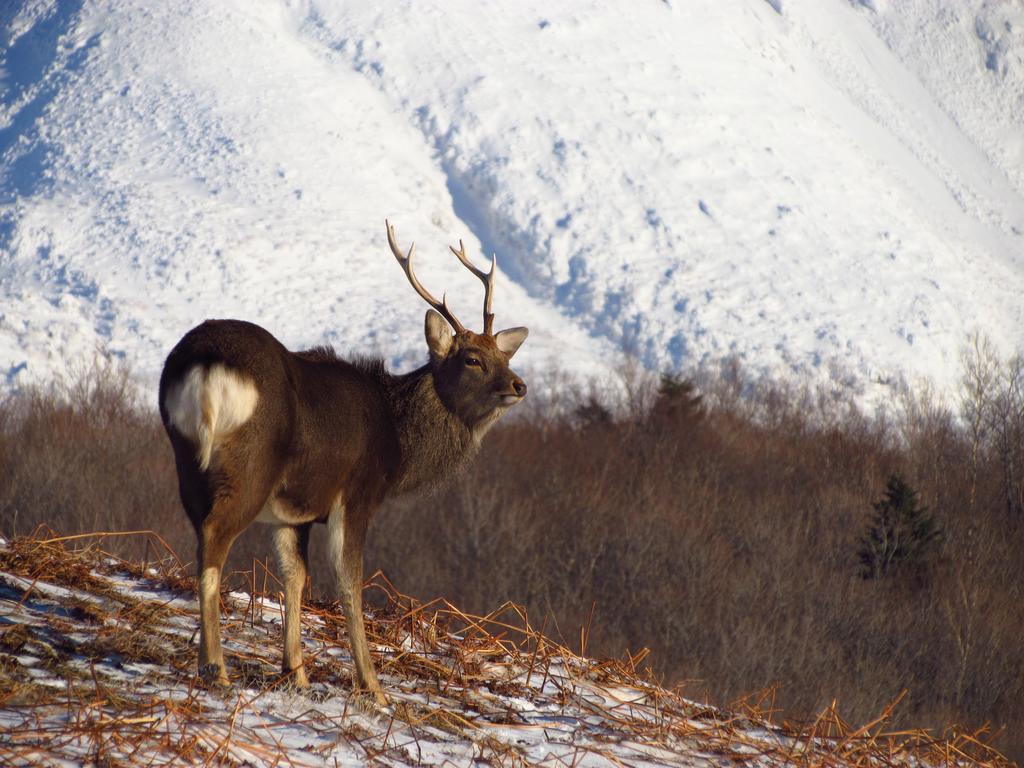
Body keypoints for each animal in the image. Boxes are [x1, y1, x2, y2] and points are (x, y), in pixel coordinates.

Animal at [161, 219, 528, 708]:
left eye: (505, 355)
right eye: (472, 359)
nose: (519, 385)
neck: (397, 441)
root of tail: (206, 364)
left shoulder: (293, 510)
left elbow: (295, 577)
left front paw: (295, 672)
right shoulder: (357, 493)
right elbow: (350, 582)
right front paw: (373, 685)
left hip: (186, 460)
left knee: (201, 537)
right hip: (250, 467)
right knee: (216, 538)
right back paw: (215, 667)